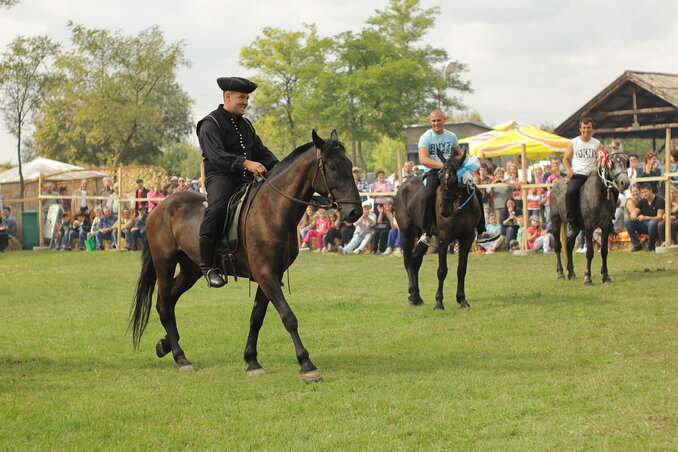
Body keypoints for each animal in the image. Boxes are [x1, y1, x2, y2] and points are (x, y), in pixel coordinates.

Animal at [129, 129, 362, 380]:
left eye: (349, 165)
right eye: (333, 166)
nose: (355, 211)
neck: (273, 209)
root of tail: (159, 208)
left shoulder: (271, 275)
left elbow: (256, 318)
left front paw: (252, 360)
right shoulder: (265, 274)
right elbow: (288, 317)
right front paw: (306, 364)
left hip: (190, 270)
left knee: (167, 302)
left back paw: (166, 346)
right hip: (165, 264)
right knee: (164, 305)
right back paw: (181, 358)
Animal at [394, 148, 484, 310]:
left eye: (455, 180)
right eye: (440, 178)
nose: (444, 211)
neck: (459, 207)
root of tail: (403, 186)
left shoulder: (467, 238)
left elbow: (462, 269)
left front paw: (462, 300)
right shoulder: (443, 239)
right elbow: (442, 270)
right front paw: (439, 303)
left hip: (425, 235)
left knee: (416, 260)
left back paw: (417, 297)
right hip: (406, 232)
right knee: (409, 260)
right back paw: (413, 295)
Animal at [552, 148, 632, 282]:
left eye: (626, 162)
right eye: (612, 162)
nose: (624, 182)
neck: (598, 194)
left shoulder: (605, 226)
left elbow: (604, 251)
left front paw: (605, 276)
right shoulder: (589, 227)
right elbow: (589, 253)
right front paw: (587, 278)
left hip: (576, 227)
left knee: (569, 245)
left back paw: (571, 273)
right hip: (556, 221)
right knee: (558, 246)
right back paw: (560, 274)